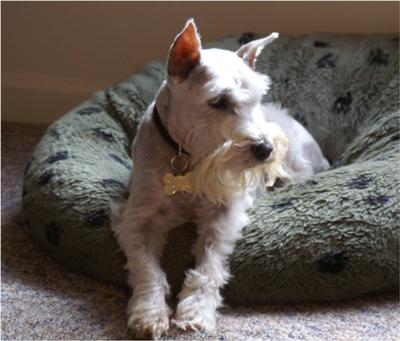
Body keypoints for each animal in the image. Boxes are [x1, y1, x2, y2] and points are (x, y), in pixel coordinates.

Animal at [112, 19, 328, 338]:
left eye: (258, 99)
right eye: (218, 101)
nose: (265, 149)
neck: (187, 154)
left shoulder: (223, 211)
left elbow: (209, 266)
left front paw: (196, 312)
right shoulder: (139, 215)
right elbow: (146, 267)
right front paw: (148, 313)